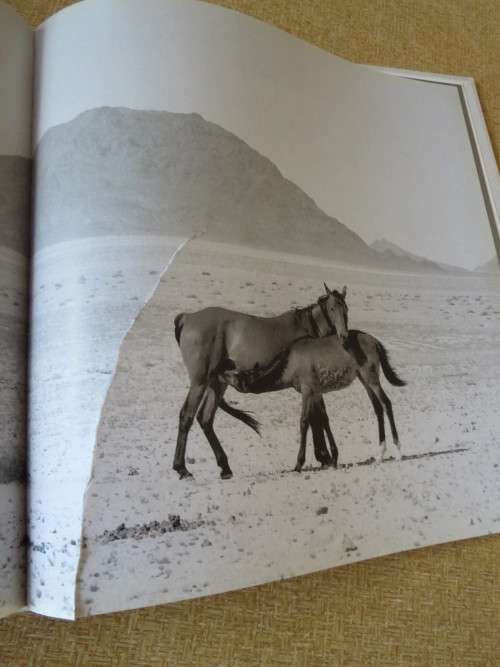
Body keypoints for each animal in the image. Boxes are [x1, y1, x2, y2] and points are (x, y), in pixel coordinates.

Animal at [173, 284, 349, 479]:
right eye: (332, 308)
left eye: (346, 309)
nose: (343, 336)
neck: (307, 329)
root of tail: (187, 317)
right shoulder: (310, 385)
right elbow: (318, 417)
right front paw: (326, 456)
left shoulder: (313, 387)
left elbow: (318, 417)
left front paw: (324, 456)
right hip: (199, 382)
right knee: (186, 416)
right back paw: (182, 468)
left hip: (217, 383)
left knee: (205, 418)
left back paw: (225, 467)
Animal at [220, 329, 406, 471]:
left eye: (236, 377)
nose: (222, 373)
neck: (290, 363)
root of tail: (376, 342)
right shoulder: (316, 392)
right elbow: (324, 419)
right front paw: (333, 458)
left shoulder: (307, 390)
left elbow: (304, 421)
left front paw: (298, 464)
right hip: (363, 378)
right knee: (377, 408)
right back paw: (379, 455)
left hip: (371, 376)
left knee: (386, 403)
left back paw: (398, 452)